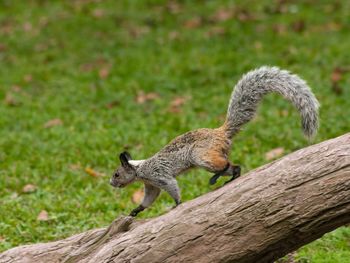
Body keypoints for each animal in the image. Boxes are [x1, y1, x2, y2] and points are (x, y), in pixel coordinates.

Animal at [110, 67, 320, 218]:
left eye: (117, 174)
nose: (111, 183)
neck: (140, 168)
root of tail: (221, 132)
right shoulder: (151, 185)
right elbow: (149, 199)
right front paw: (136, 210)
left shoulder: (159, 176)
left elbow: (172, 187)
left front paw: (176, 204)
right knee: (235, 167)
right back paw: (231, 176)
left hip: (202, 156)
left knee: (225, 164)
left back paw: (214, 178)